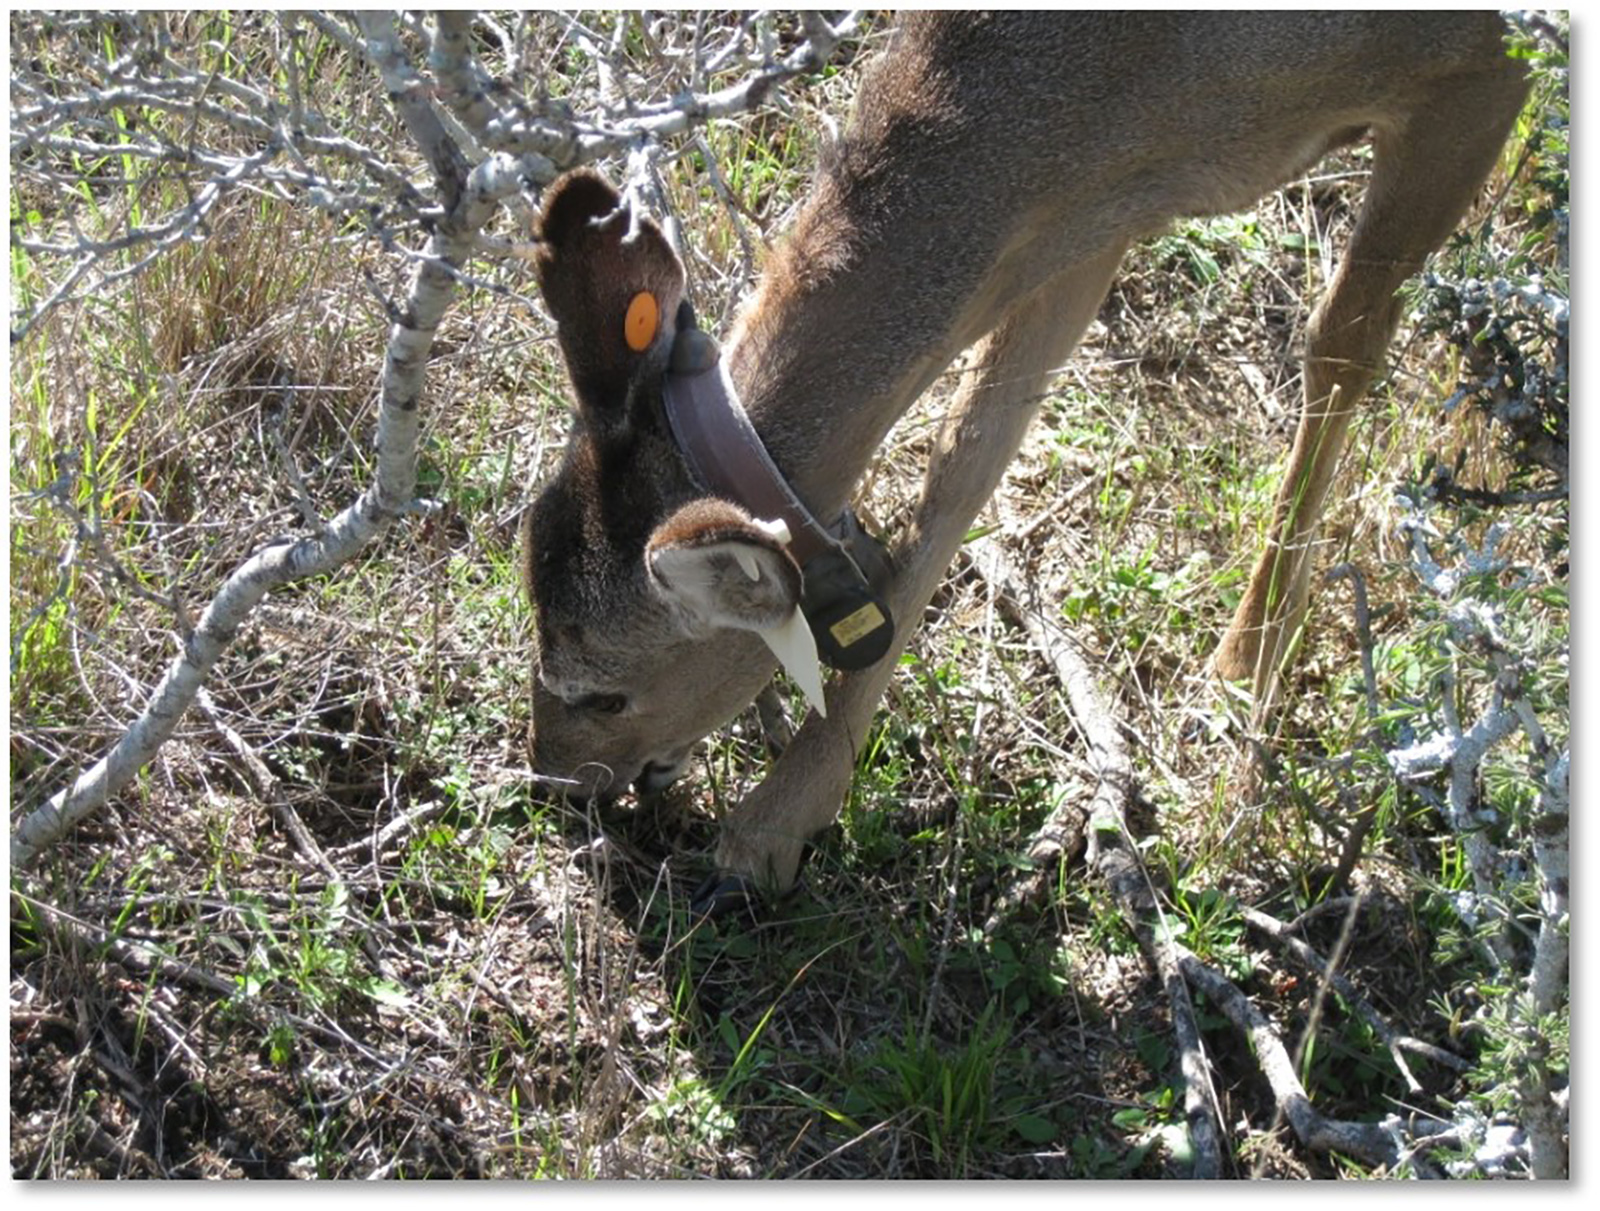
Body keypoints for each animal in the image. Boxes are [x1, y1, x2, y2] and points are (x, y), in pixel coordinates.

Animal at [518, 14, 1529, 908]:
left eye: (604, 693)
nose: (552, 785)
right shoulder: (1086, 211)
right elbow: (968, 454)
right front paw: (779, 822)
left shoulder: (1477, 70)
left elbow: (1340, 344)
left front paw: (1241, 676)